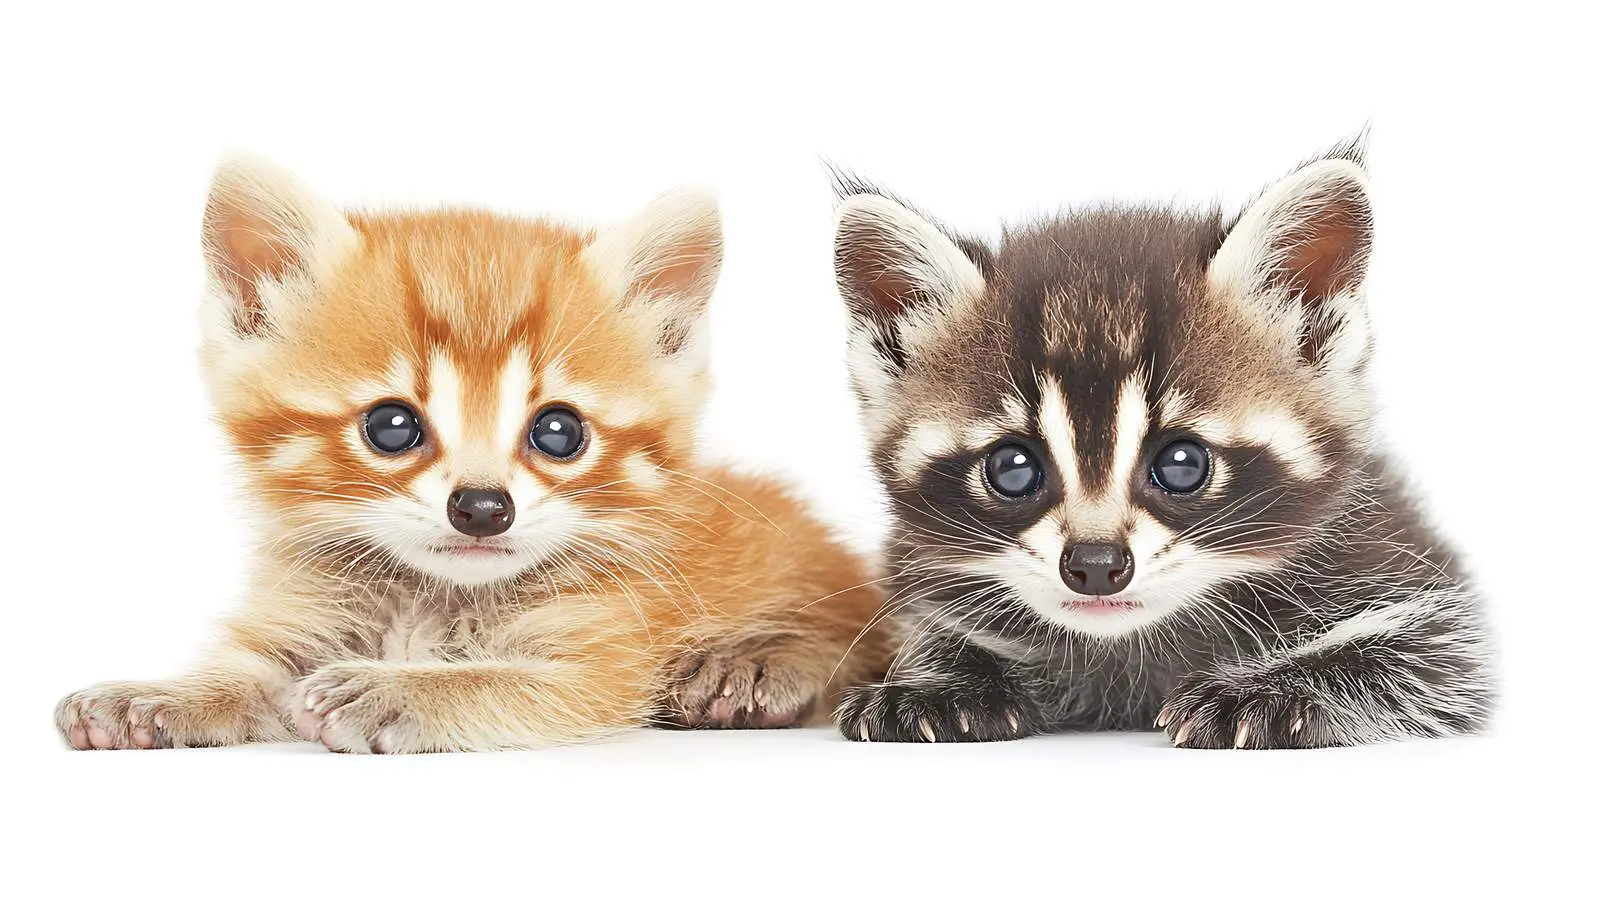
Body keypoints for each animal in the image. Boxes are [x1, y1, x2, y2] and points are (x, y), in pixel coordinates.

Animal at [55, 156, 888, 752]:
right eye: (391, 426)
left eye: (559, 431)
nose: (484, 507)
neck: (436, 597)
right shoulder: (298, 618)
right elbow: (241, 673)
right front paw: (157, 693)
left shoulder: (598, 660)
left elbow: (498, 683)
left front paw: (400, 690)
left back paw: (753, 666)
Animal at [831, 146, 1494, 748]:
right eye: (1013, 469)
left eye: (1182, 464)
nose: (1096, 565)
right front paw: (943, 682)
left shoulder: (1407, 573)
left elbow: (1423, 655)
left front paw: (1274, 688)